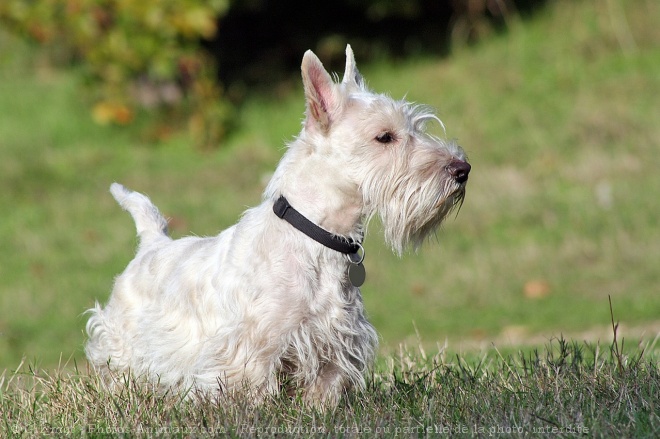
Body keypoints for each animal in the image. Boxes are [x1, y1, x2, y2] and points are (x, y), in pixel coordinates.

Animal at [86, 44, 470, 406]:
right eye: (384, 137)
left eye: (416, 127)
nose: (462, 170)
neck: (318, 237)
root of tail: (153, 242)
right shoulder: (252, 346)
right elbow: (252, 386)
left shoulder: (336, 342)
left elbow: (325, 388)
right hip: (123, 342)